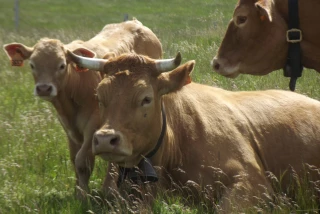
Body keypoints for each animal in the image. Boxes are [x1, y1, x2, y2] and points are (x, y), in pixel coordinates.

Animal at [2, 18, 162, 199]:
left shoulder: (94, 126)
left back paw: (110, 188)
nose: (44, 88)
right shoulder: (70, 130)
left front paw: (83, 196)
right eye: (32, 65)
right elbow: (74, 159)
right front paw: (78, 190)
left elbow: (82, 161)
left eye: (62, 65)